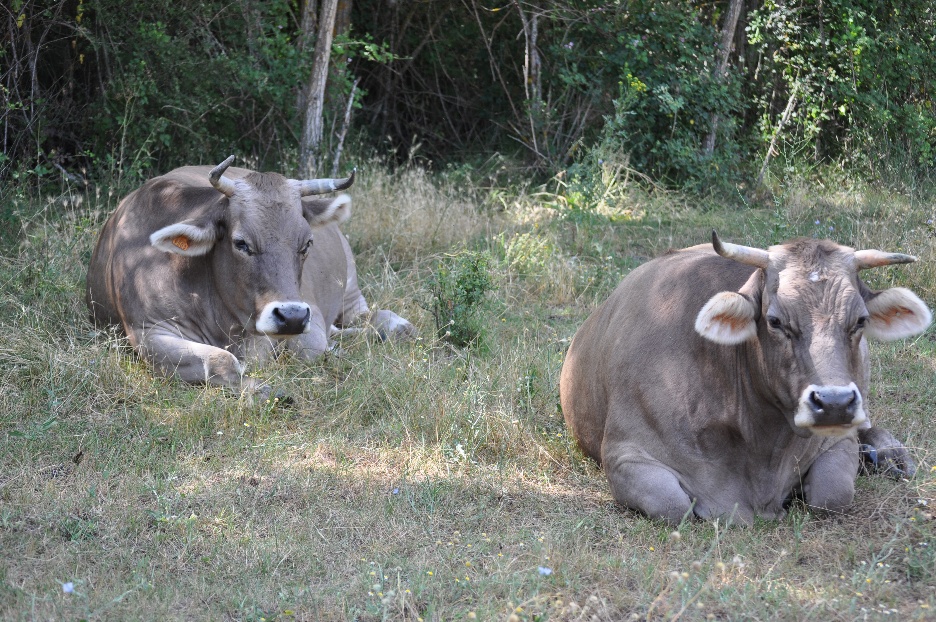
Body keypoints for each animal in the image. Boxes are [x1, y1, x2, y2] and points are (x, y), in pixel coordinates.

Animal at [86, 156, 416, 396]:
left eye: (307, 243)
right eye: (241, 243)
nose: (292, 316)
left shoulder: (304, 315)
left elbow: (306, 349)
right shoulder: (147, 332)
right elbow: (223, 361)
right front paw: (261, 390)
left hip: (349, 288)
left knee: (366, 317)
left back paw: (392, 328)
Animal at [559, 232, 931, 526]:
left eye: (860, 320)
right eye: (775, 321)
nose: (834, 403)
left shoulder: (837, 441)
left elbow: (831, 495)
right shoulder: (626, 453)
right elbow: (674, 507)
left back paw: (890, 455)